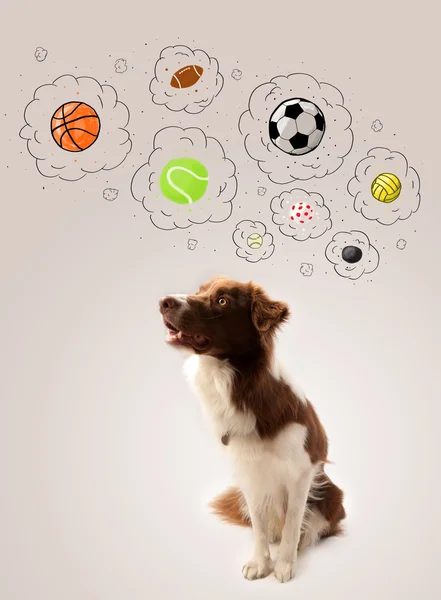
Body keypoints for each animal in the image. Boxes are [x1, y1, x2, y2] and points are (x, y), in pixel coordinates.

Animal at [160, 276, 346, 580]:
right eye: (199, 291)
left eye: (222, 300)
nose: (164, 302)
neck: (238, 383)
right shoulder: (249, 472)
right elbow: (258, 526)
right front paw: (261, 563)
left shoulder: (302, 471)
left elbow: (294, 521)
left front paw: (284, 564)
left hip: (332, 493)